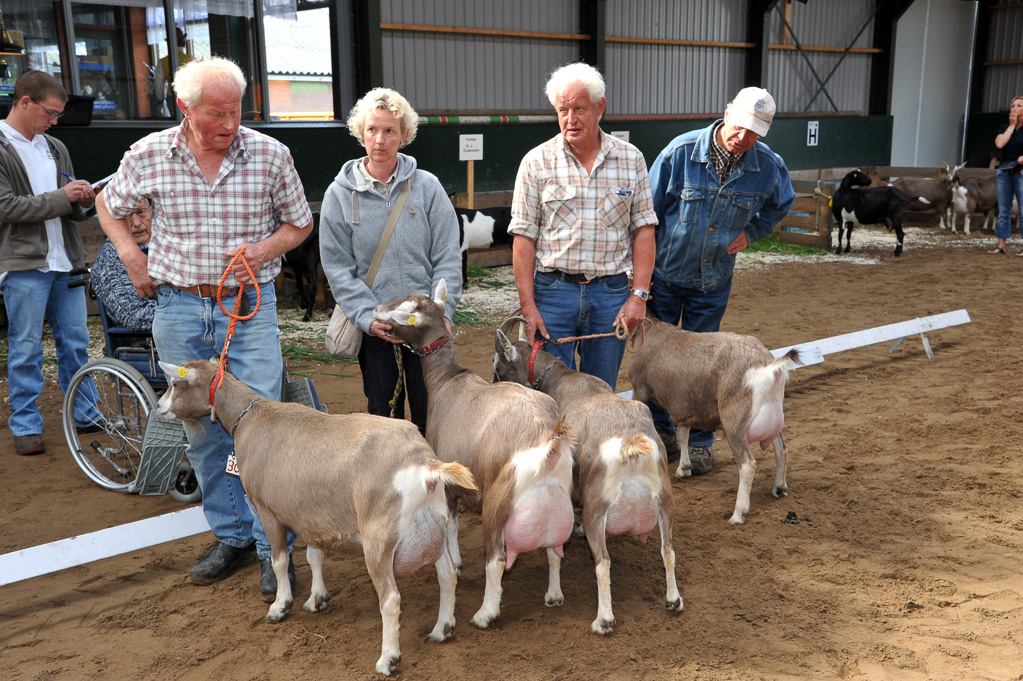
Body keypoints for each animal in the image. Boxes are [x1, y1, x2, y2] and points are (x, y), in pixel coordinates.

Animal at [153, 357, 472, 674]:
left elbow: (279, 561)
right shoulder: (311, 514)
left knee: (391, 599)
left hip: (379, 536)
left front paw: (280, 605)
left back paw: (388, 659)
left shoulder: (267, 511)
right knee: (447, 576)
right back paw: (442, 629)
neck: (248, 418)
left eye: (175, 383)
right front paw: (316, 598)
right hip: (435, 523)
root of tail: (425, 464)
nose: (158, 407)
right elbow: (314, 555)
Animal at [374, 278, 576, 629]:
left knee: (496, 558)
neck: (448, 382)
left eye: (407, 307)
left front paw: (454, 563)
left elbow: (452, 525)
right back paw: (553, 596)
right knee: (554, 549)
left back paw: (485, 613)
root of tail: (546, 436)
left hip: (497, 503)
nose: (375, 309)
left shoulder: (448, 482)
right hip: (557, 497)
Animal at [493, 316, 683, 629]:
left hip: (599, 507)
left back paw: (603, 619)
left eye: (497, 366)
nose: (496, 387)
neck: (563, 379)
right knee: (667, 550)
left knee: (603, 561)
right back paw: (673, 600)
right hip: (665, 500)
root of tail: (629, 442)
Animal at [626, 314, 802, 521]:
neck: (649, 328)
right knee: (782, 450)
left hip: (734, 420)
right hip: (773, 414)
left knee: (747, 463)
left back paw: (738, 513)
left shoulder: (640, 389)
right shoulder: (686, 404)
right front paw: (684, 468)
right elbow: (683, 434)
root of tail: (767, 364)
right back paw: (779, 488)